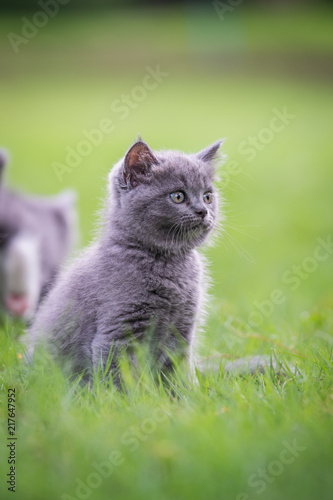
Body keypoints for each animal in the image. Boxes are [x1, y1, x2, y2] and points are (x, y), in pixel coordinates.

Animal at [27, 141, 222, 382]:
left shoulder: (181, 329)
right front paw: (121, 393)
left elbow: (176, 370)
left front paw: (182, 391)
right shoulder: (119, 328)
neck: (168, 261)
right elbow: (118, 374)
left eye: (207, 196)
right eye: (177, 196)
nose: (203, 211)